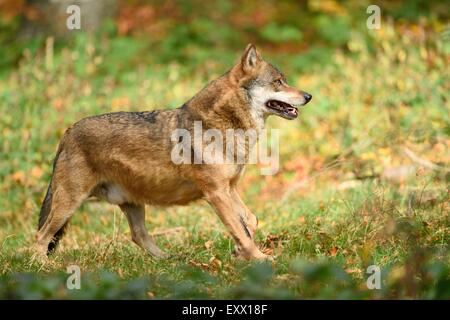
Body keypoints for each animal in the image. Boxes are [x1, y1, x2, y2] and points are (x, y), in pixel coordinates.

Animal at [35, 44, 312, 260]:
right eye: (278, 81)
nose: (308, 96)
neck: (222, 125)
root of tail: (67, 132)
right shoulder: (216, 193)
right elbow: (240, 229)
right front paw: (259, 258)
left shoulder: (230, 188)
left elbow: (249, 222)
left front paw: (240, 253)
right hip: (69, 203)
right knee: (41, 235)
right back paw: (42, 268)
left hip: (132, 204)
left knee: (138, 235)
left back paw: (170, 259)